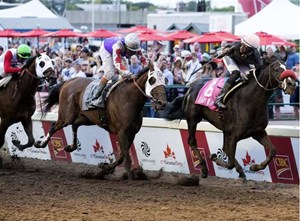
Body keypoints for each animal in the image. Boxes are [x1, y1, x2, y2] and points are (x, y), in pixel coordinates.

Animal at [34, 62, 168, 180]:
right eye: (152, 80)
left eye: (164, 80)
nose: (162, 103)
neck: (129, 99)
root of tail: (69, 81)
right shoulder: (122, 133)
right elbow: (126, 158)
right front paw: (130, 178)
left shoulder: (132, 133)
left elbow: (121, 157)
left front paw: (105, 167)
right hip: (67, 116)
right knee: (54, 126)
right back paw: (40, 143)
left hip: (87, 118)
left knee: (75, 125)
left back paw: (71, 147)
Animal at [161, 57, 296, 180]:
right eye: (276, 69)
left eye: (287, 67)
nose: (291, 84)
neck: (250, 100)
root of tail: (189, 89)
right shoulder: (233, 135)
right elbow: (229, 162)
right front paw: (215, 158)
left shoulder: (257, 131)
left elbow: (273, 150)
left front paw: (254, 167)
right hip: (193, 119)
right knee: (192, 141)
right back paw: (204, 169)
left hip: (223, 129)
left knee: (225, 149)